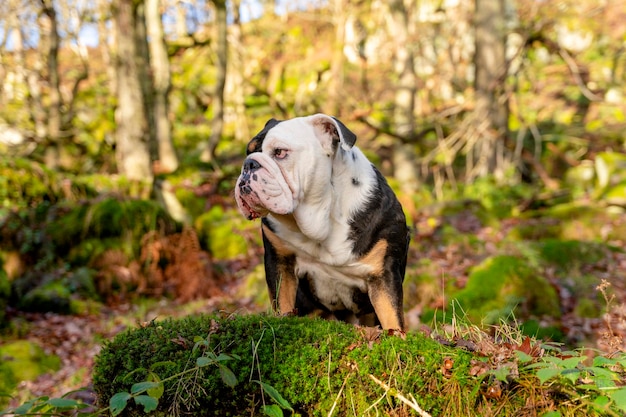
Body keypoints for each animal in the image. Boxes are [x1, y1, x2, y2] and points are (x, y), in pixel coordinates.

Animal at [235, 114, 410, 328]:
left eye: (280, 152)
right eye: (249, 151)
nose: (249, 164)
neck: (320, 219)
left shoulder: (383, 274)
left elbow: (392, 317)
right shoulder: (280, 261)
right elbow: (282, 302)